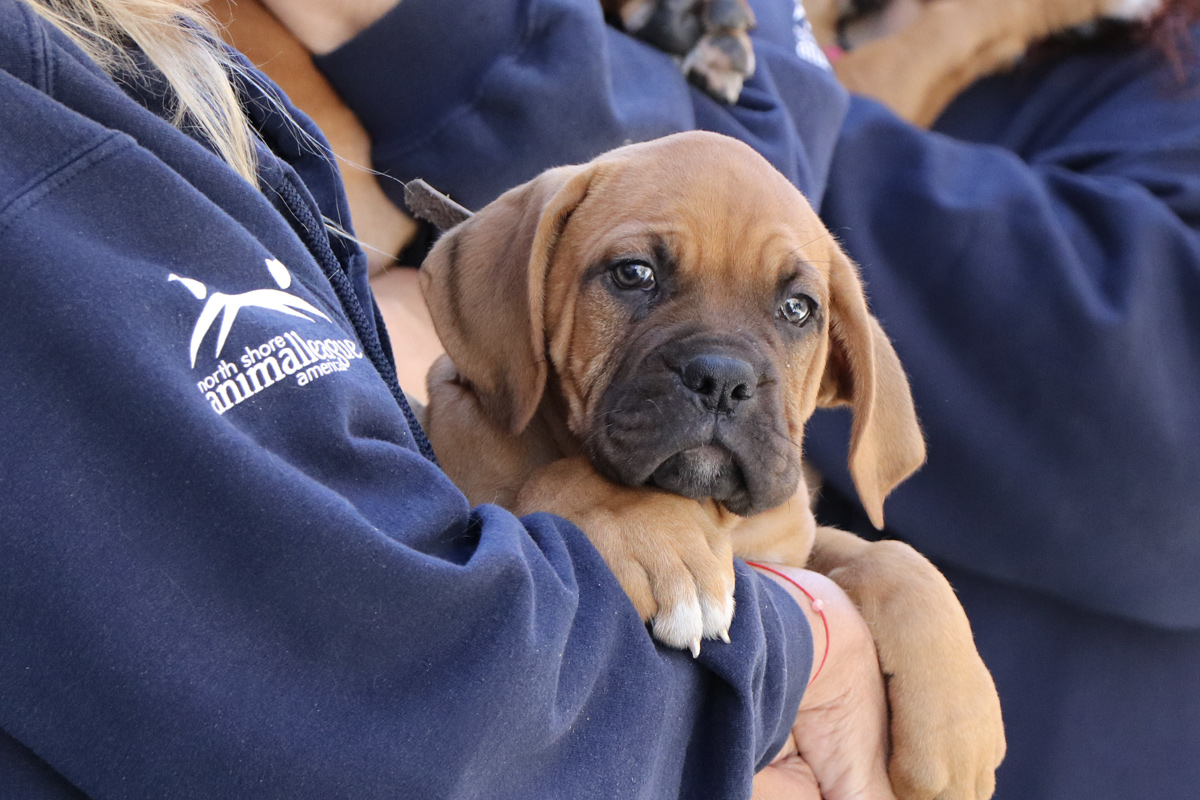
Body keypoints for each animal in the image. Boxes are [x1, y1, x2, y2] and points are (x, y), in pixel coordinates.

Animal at [417, 133, 1008, 800]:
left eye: (798, 309)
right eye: (634, 274)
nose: (723, 380)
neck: (711, 514)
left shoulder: (792, 546)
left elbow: (891, 555)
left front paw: (960, 725)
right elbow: (566, 476)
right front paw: (660, 541)